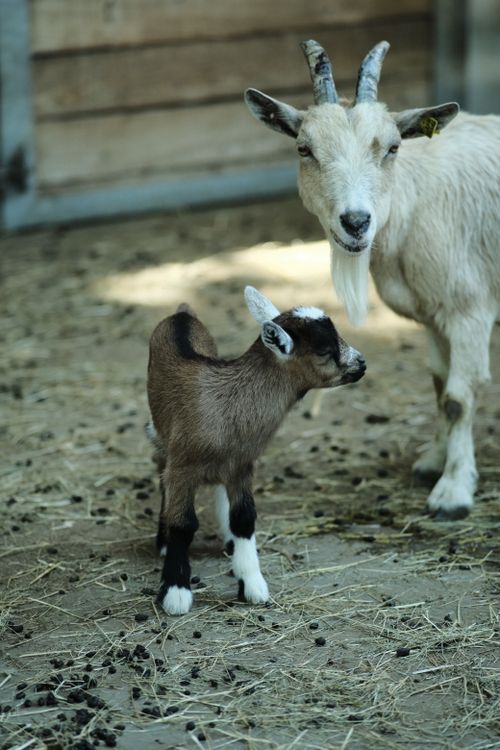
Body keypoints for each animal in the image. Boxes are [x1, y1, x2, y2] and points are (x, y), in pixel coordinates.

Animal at [146, 286, 366, 614]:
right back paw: (163, 542)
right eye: (324, 350)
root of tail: (182, 314)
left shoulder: (241, 465)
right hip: (160, 433)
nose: (362, 363)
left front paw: (252, 585)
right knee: (161, 472)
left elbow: (244, 518)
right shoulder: (182, 465)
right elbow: (183, 524)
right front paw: (176, 593)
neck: (227, 404)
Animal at [245, 40, 500, 520]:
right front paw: (432, 461)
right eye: (304, 149)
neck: (414, 201)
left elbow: (459, 395)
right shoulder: (434, 313)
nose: (356, 222)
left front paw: (453, 491)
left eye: (393, 147)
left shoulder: (468, 309)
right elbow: (439, 384)